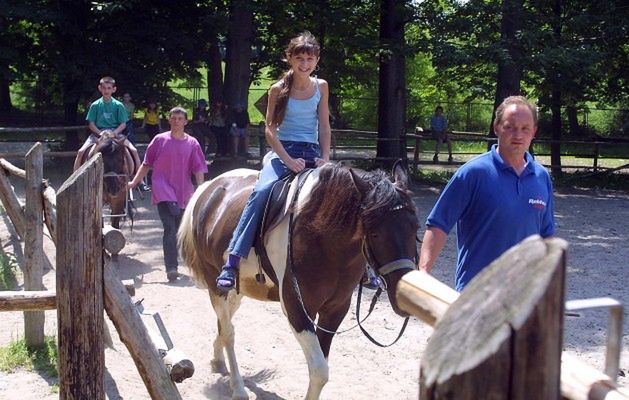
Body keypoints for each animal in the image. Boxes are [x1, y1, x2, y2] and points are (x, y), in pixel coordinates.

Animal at [179, 161, 420, 398]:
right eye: (374, 232)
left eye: (416, 227)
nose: (404, 292)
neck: (323, 237)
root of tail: (209, 187)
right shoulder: (297, 309)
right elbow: (320, 370)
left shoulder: (335, 310)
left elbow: (321, 363)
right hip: (215, 283)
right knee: (229, 331)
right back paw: (238, 388)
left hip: (240, 289)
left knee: (224, 321)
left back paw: (218, 360)